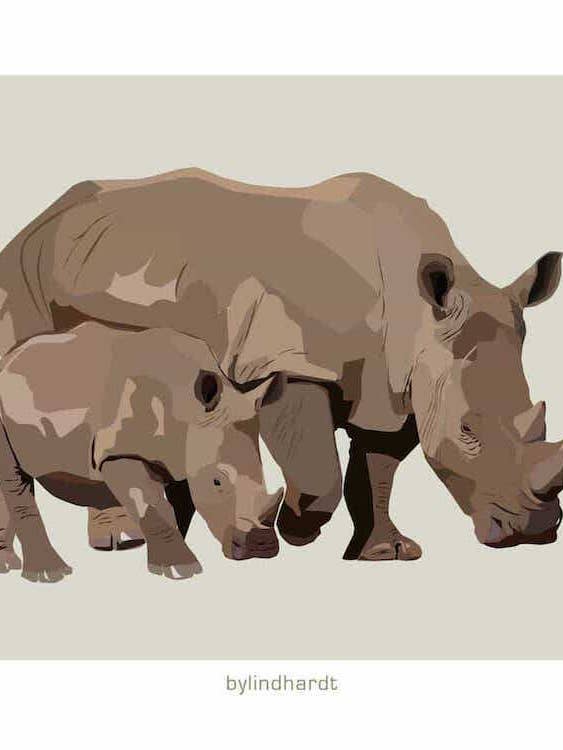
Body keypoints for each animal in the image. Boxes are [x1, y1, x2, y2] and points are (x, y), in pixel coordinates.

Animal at [0, 322, 283, 581]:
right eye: (217, 482)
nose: (261, 545)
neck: (188, 407)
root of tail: (8, 360)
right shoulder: (120, 454)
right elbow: (153, 505)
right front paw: (180, 569)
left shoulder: (183, 458)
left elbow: (180, 507)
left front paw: (165, 558)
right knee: (15, 481)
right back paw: (50, 574)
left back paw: (8, 567)